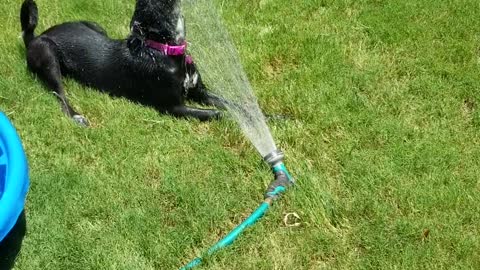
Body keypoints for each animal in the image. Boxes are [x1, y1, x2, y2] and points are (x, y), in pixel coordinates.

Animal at [18, 0, 221, 126]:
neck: (162, 50)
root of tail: (36, 36)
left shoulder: (199, 91)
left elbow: (224, 102)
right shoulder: (173, 108)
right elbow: (216, 113)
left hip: (96, 26)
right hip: (46, 53)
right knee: (59, 94)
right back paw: (77, 116)